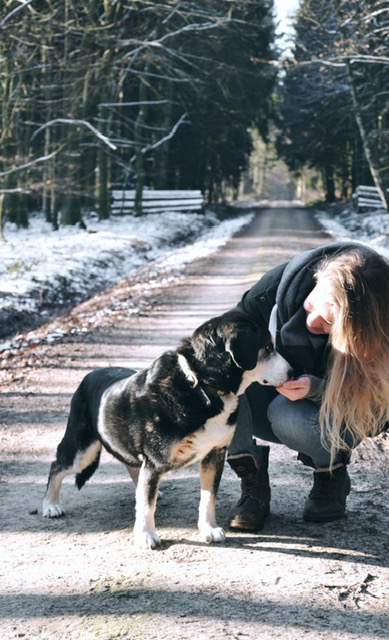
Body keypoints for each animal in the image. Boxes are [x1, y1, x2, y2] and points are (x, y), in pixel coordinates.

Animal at [42, 308, 292, 548]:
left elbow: (208, 497)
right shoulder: (154, 460)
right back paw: (50, 505)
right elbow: (147, 505)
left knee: (132, 467)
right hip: (82, 449)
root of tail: (90, 375)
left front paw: (209, 529)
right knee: (57, 466)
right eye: (268, 348)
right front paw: (145, 535)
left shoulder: (214, 455)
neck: (201, 385)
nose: (292, 372)